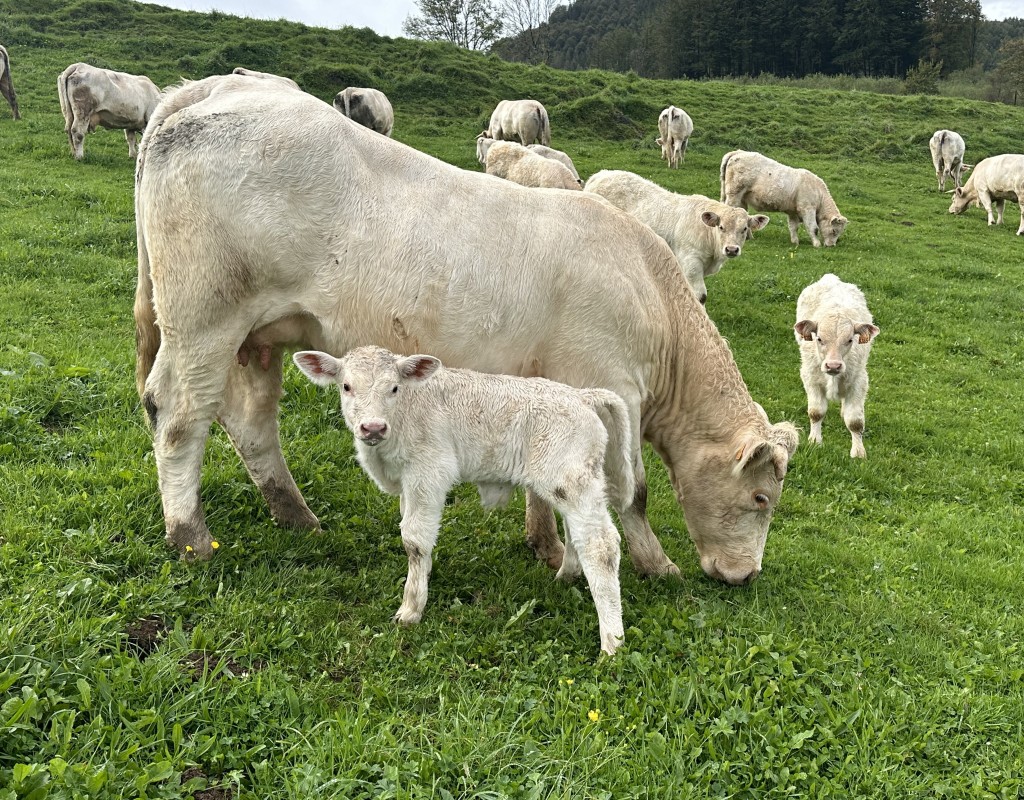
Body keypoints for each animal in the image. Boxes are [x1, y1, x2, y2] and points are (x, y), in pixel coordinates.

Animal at [294, 345, 632, 654]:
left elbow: (414, 539)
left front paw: (411, 609)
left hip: (570, 481)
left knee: (600, 545)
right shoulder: (407, 484)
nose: (373, 427)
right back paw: (565, 577)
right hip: (570, 485)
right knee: (577, 533)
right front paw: (424, 575)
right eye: (346, 386)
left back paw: (612, 644)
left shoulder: (428, 473)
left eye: (394, 388)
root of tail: (583, 396)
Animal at [584, 170, 769, 304]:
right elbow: (700, 296)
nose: (731, 249)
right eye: (721, 227)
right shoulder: (691, 262)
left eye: (744, 229)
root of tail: (600, 174)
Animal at [794, 274, 879, 459]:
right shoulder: (810, 377)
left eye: (850, 340)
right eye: (819, 338)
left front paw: (858, 452)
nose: (833, 365)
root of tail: (831, 278)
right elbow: (816, 412)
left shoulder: (859, 381)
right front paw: (815, 441)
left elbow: (855, 421)